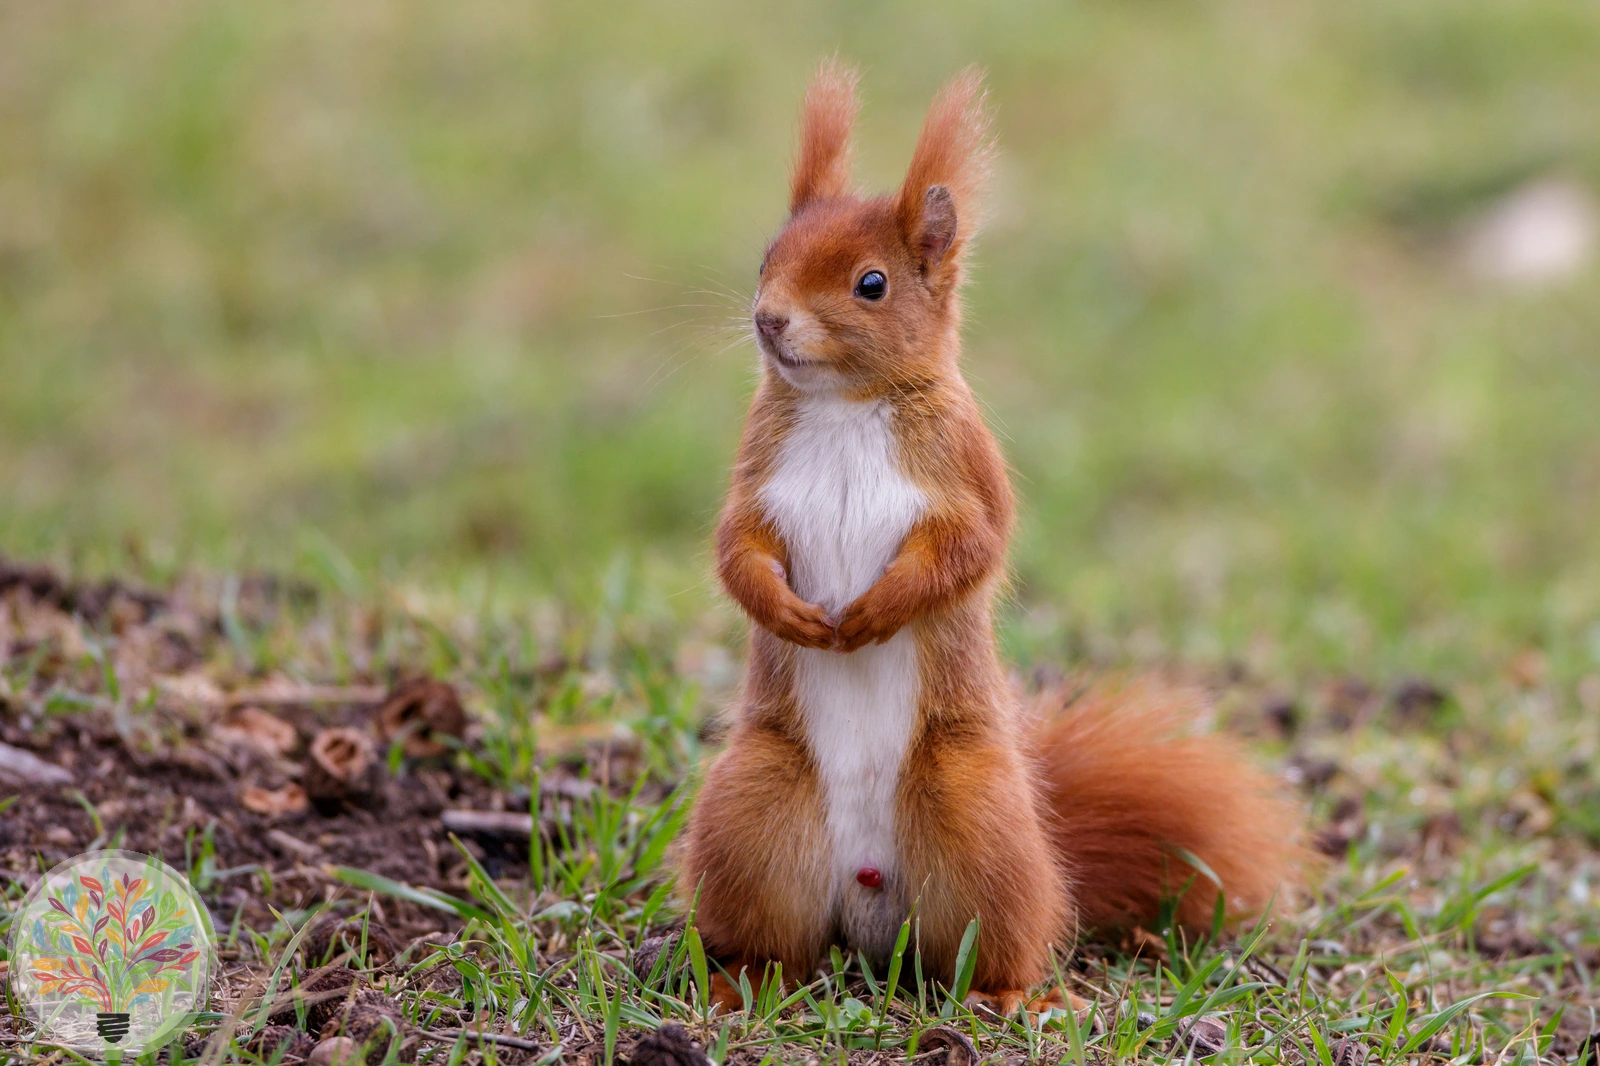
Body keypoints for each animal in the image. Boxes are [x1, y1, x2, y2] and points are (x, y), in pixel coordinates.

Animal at [680, 60, 1304, 1015]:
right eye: (764, 261)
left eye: (871, 284)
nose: (769, 321)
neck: (844, 404)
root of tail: (868, 906)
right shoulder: (758, 481)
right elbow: (735, 549)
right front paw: (787, 613)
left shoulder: (967, 479)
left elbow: (969, 552)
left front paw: (873, 614)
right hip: (754, 812)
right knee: (779, 941)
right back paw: (740, 981)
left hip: (976, 820)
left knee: (997, 942)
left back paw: (1011, 995)